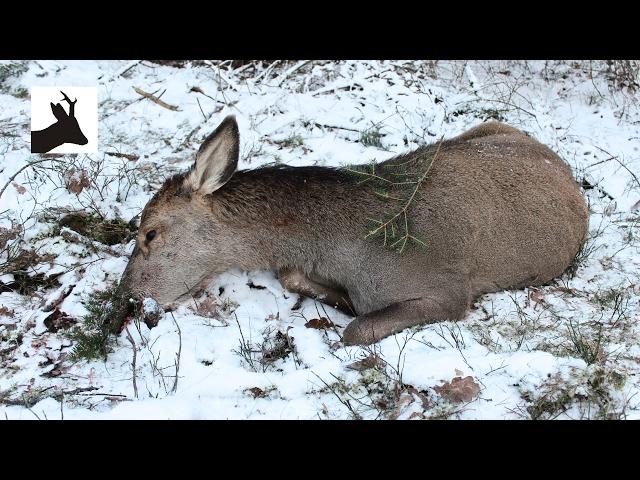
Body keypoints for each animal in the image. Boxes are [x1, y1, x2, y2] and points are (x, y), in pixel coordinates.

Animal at [112, 115, 588, 344]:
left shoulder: (450, 291)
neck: (338, 249)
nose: (127, 295)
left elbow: (355, 329)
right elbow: (293, 276)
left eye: (150, 233)